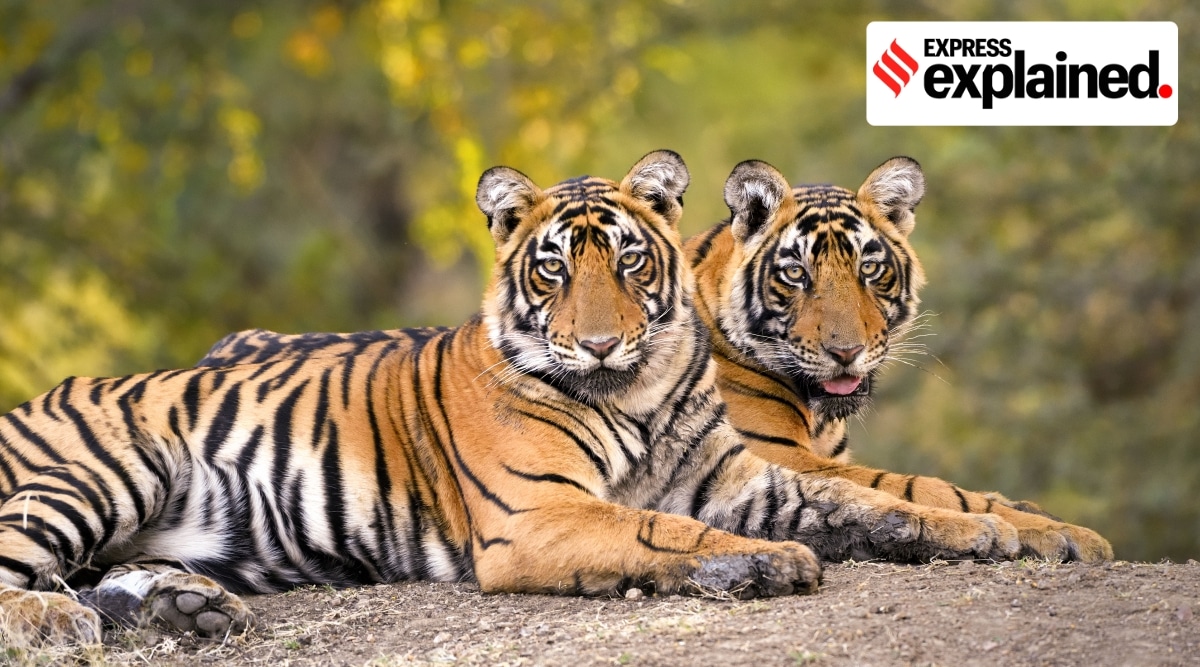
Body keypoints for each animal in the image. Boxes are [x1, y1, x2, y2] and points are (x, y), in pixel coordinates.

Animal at [0, 150, 1025, 645]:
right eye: (554, 268)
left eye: (628, 260)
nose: (602, 340)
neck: (635, 387)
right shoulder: (539, 513)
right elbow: (662, 530)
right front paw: (770, 563)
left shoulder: (749, 479)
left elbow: (873, 497)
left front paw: (988, 531)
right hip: (100, 469)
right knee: (24, 575)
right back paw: (66, 621)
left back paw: (185, 609)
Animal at [686, 156, 1113, 562]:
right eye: (795, 273)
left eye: (869, 268)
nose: (846, 352)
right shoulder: (770, 453)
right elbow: (921, 488)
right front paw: (1061, 532)